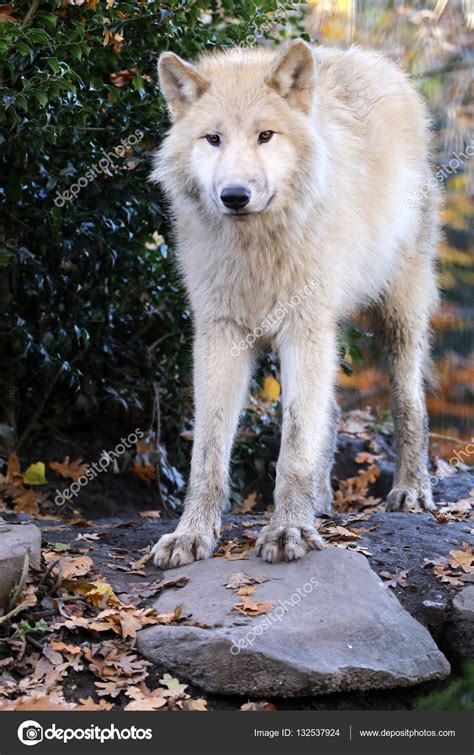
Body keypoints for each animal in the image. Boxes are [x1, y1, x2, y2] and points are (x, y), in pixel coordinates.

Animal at [149, 35, 440, 568]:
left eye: (266, 135)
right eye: (213, 138)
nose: (234, 195)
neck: (257, 249)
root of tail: (376, 61)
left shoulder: (303, 329)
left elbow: (294, 448)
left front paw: (288, 531)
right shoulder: (220, 334)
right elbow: (208, 453)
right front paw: (191, 534)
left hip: (396, 315)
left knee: (410, 403)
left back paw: (411, 490)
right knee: (333, 412)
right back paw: (321, 501)